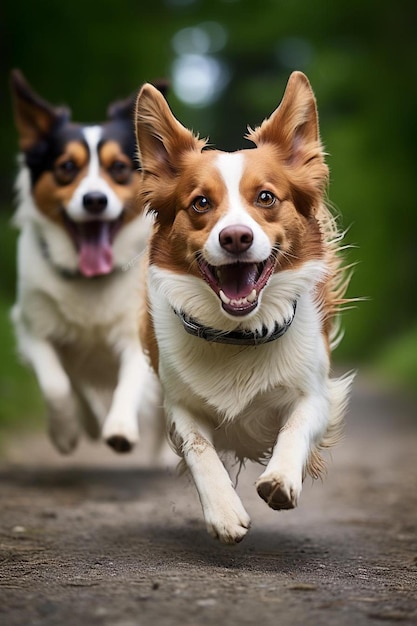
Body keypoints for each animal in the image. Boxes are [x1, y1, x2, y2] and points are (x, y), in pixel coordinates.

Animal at [10, 72, 166, 454]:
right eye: (67, 167)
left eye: (119, 168)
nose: (95, 200)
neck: (89, 277)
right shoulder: (32, 326)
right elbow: (58, 384)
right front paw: (67, 432)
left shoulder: (137, 332)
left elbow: (130, 381)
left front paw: (120, 427)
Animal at [136, 72, 354, 540]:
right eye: (200, 202)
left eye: (266, 198)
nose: (235, 237)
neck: (237, 334)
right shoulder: (179, 404)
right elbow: (200, 449)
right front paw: (223, 511)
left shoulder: (317, 392)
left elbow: (295, 425)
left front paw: (281, 478)